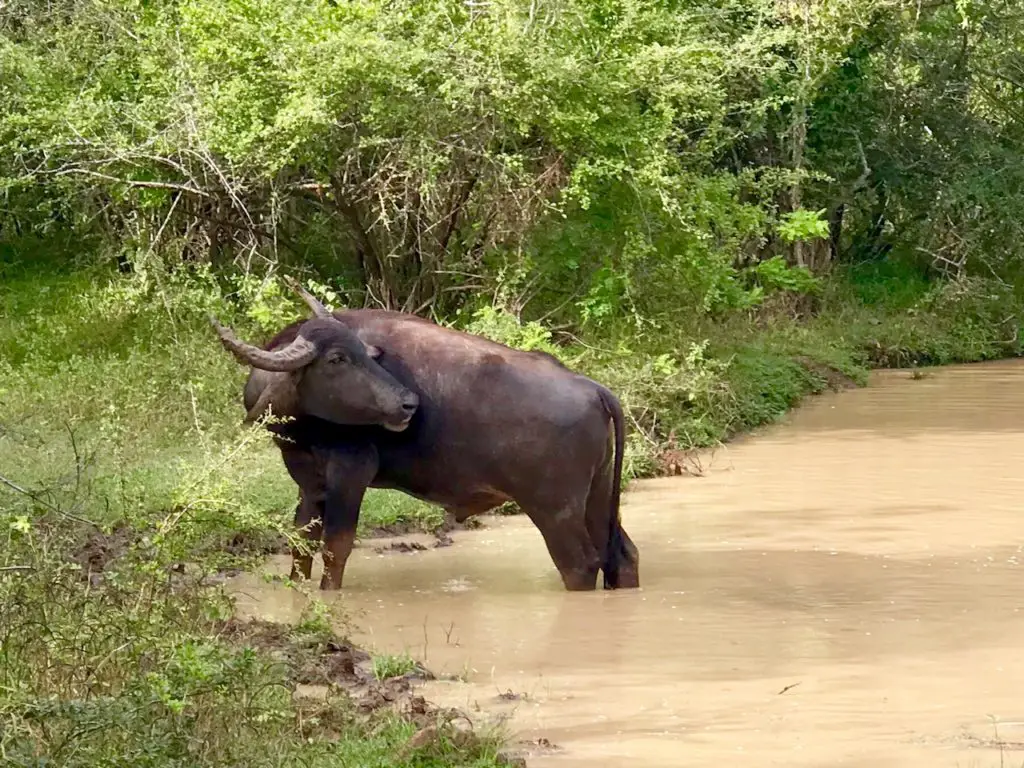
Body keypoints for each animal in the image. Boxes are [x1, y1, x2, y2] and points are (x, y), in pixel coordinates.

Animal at [210, 286, 634, 593]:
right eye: (337, 359)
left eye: (366, 354)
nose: (408, 403)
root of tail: (592, 387)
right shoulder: (309, 482)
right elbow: (301, 546)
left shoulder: (350, 474)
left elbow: (336, 548)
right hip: (596, 496)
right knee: (622, 555)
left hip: (555, 509)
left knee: (580, 564)